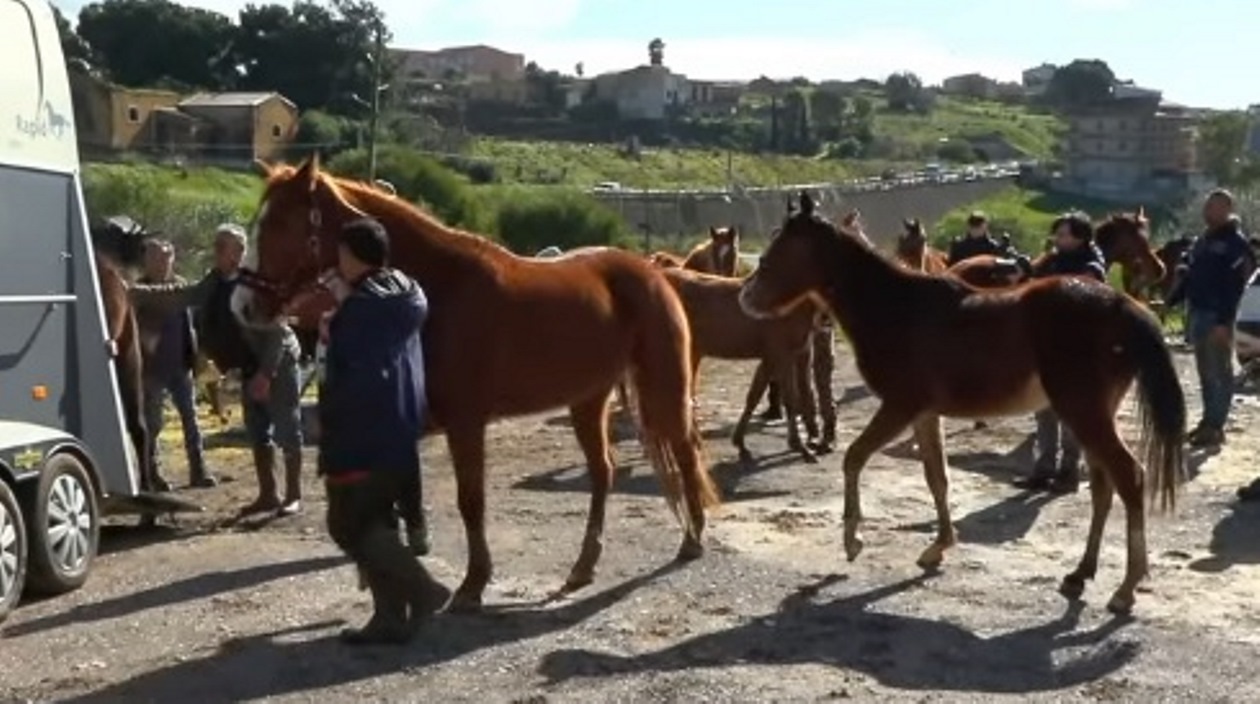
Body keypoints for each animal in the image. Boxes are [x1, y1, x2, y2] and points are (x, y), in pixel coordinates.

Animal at [244, 156, 720, 611]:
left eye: (280, 223)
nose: (245, 306)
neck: (438, 291)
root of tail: (654, 272)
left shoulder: (466, 424)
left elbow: (470, 501)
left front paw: (472, 585)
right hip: (588, 399)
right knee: (604, 472)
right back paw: (584, 567)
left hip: (665, 388)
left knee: (685, 452)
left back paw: (692, 539)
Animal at [659, 267, 820, 463]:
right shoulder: (783, 356)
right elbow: (790, 399)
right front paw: (801, 447)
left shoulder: (772, 358)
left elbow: (754, 396)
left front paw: (740, 443)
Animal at [739, 192, 1185, 615]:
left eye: (782, 248)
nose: (745, 298)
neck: (897, 308)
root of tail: (1123, 306)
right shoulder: (923, 414)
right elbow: (937, 477)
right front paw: (938, 547)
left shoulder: (899, 406)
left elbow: (854, 458)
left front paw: (853, 540)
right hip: (1090, 415)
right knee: (1103, 486)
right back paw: (1080, 574)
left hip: (1084, 412)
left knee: (1129, 477)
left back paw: (1125, 589)